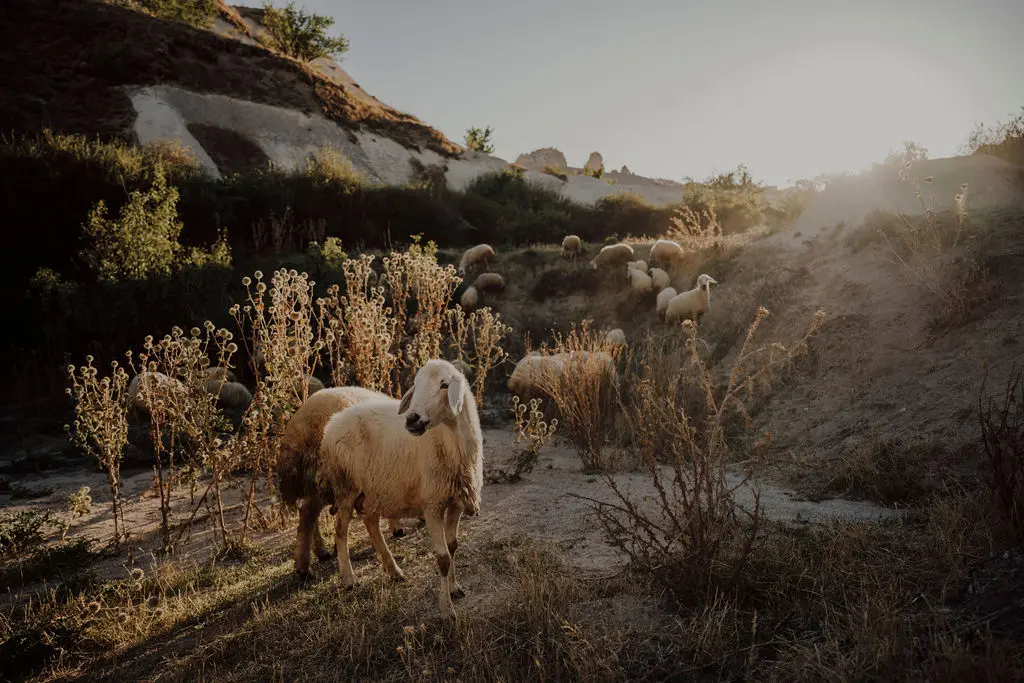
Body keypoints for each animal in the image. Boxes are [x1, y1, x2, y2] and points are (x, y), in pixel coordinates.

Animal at [280, 387, 399, 573]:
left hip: (317, 482)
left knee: (307, 512)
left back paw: (320, 552)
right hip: (328, 478)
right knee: (308, 513)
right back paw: (303, 567)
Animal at [317, 360, 481, 618]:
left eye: (445, 384)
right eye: (416, 384)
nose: (412, 419)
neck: (449, 442)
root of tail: (333, 421)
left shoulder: (455, 501)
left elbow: (453, 546)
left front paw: (454, 588)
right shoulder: (432, 505)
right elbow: (443, 557)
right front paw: (446, 609)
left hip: (373, 488)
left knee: (371, 523)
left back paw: (393, 569)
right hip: (346, 488)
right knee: (341, 531)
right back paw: (349, 578)